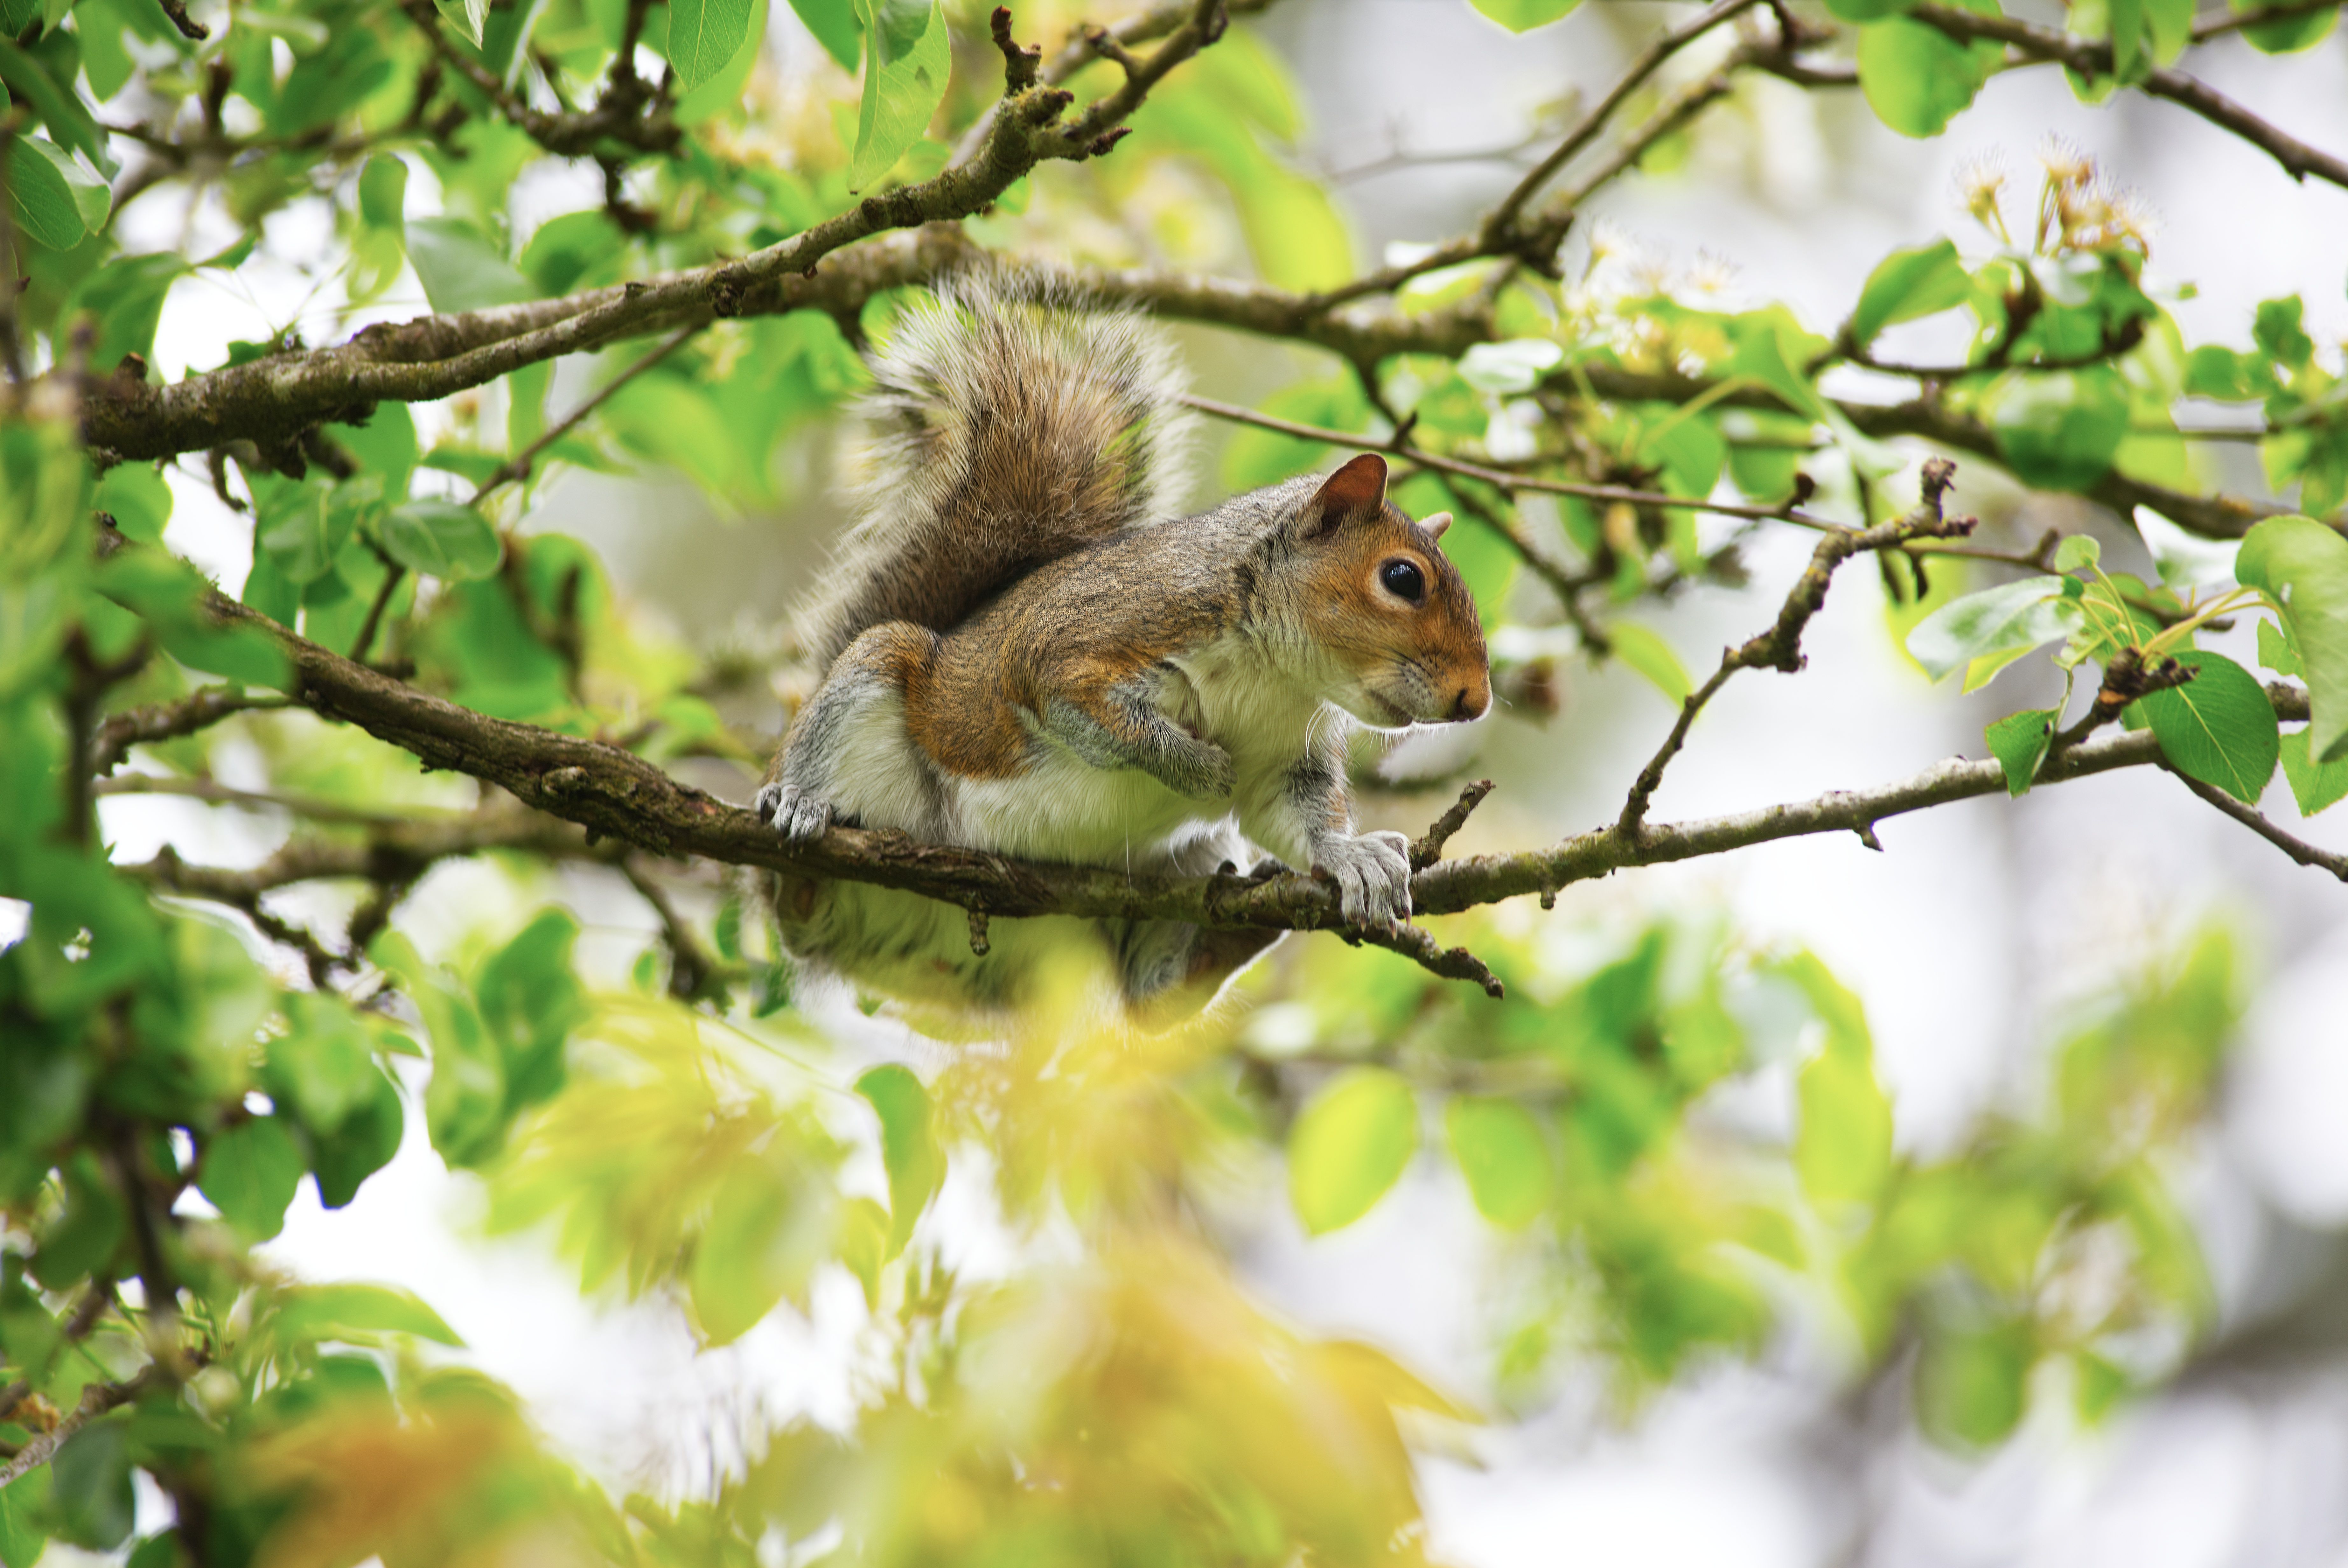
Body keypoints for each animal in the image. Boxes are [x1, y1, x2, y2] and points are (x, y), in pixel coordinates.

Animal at [755, 276, 1492, 1022]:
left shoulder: (1285, 756)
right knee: (798, 897)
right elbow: (1106, 724)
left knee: (1151, 998)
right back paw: (800, 810)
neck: (1275, 672)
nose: (1477, 700)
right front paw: (1198, 767)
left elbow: (1293, 814)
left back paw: (1224, 941)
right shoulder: (1078, 649)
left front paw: (1352, 854)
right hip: (873, 683)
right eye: (1402, 578)